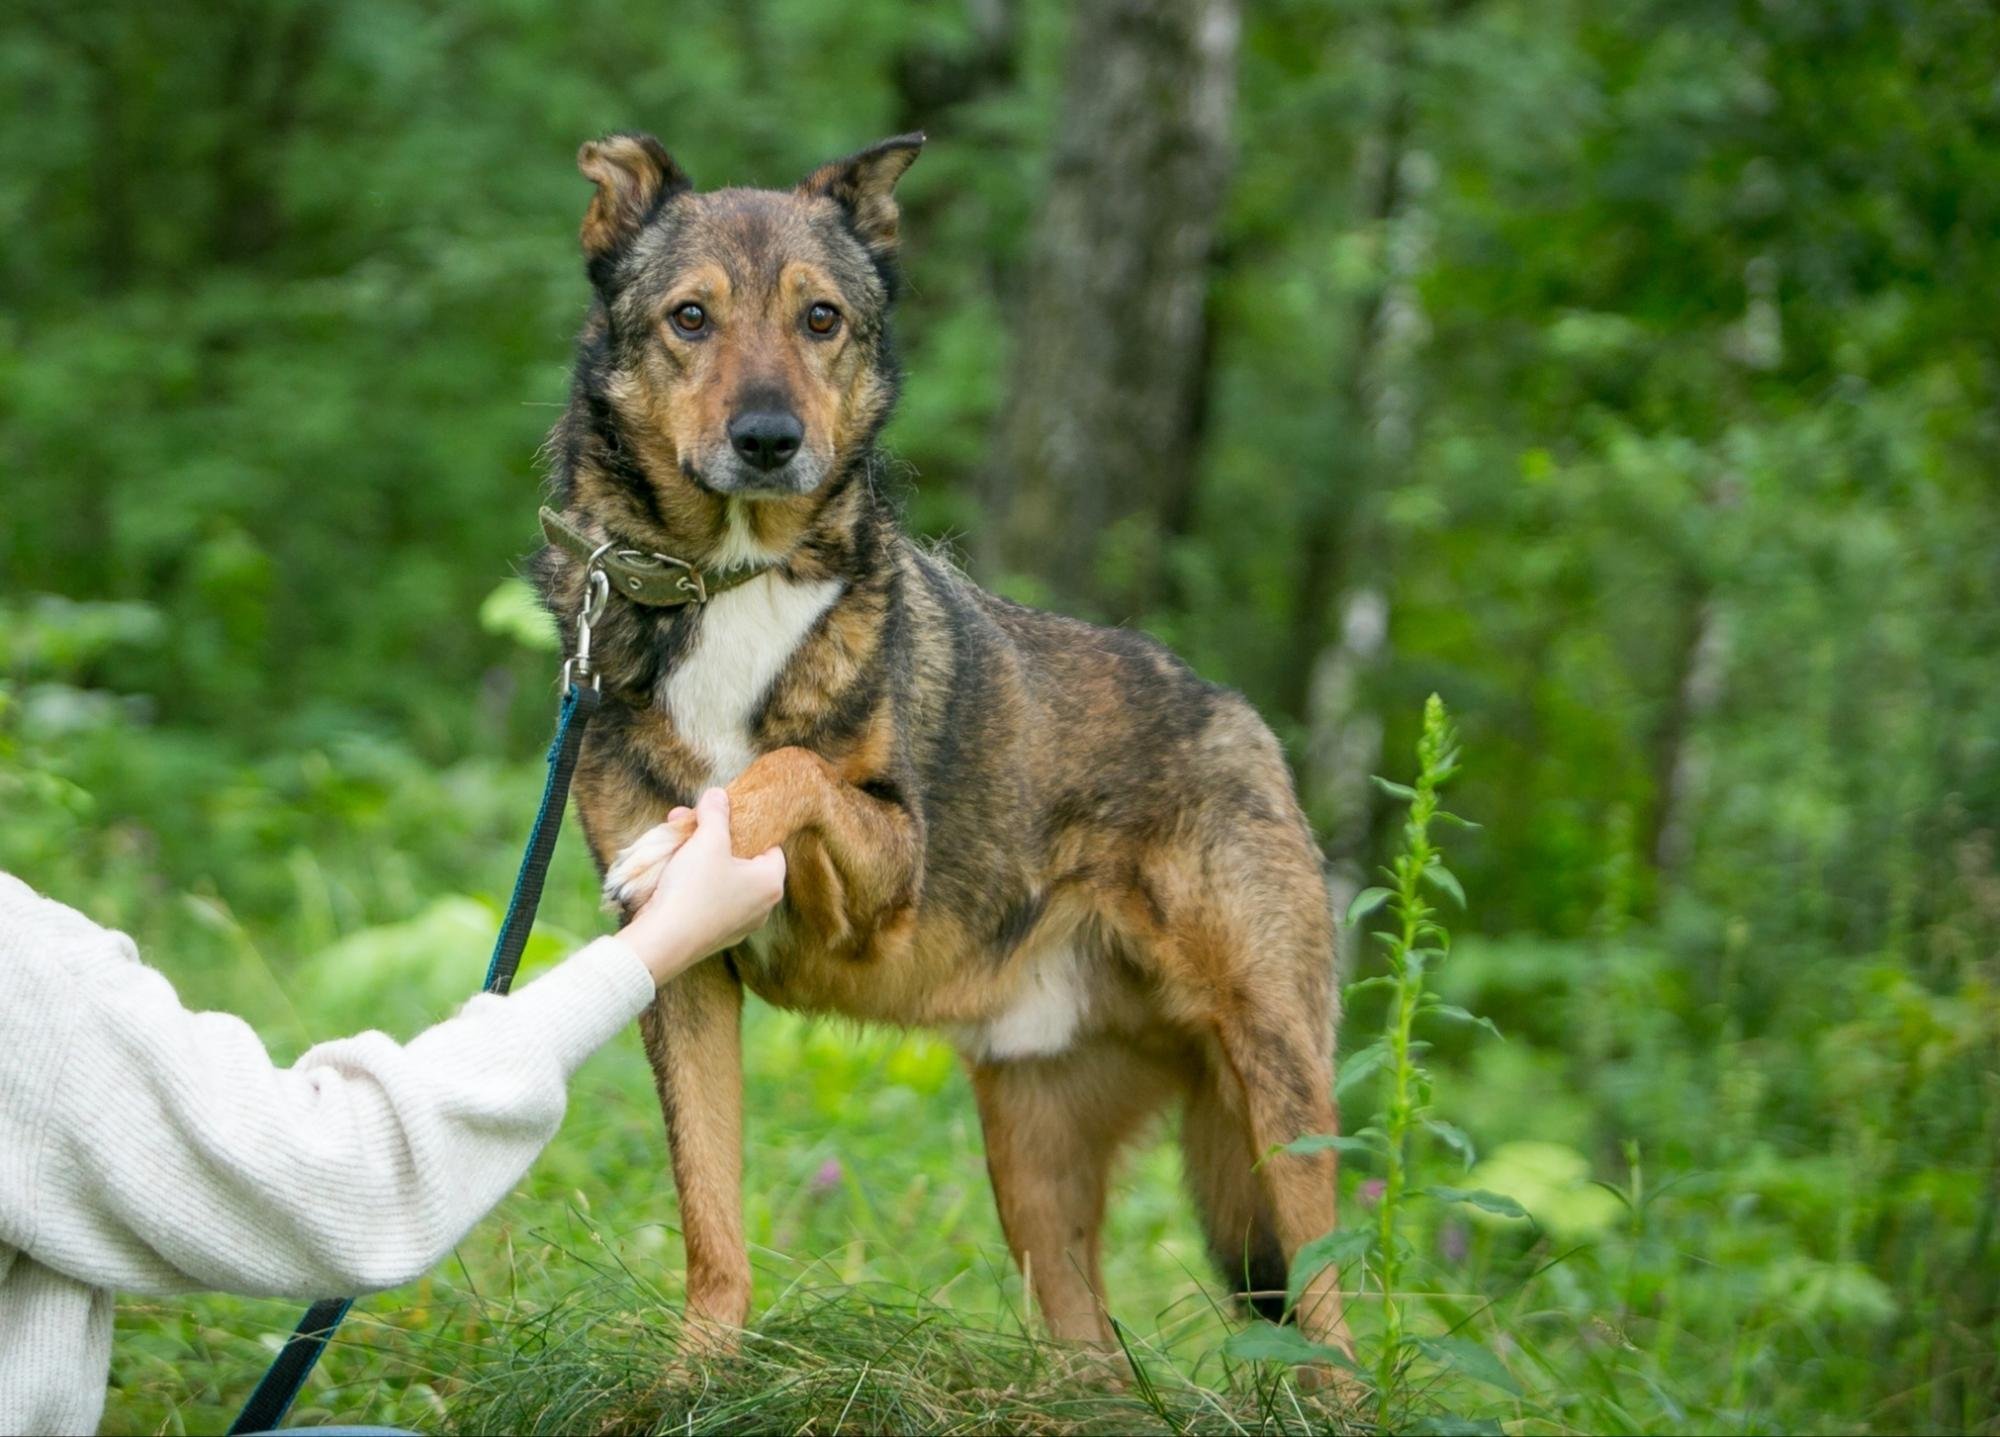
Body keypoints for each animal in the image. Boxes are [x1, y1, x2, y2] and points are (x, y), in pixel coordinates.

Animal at [528, 129, 1360, 1368]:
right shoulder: (683, 978)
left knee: (1335, 1332)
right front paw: (696, 1375)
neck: (733, 582)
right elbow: (711, 1226)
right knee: (1097, 1359)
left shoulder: (884, 881)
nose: (768, 441)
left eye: (821, 318)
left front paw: (688, 839)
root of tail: (1242, 721)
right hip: (1032, 1173)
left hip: (1278, 1109)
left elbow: (788, 770)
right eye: (689, 318)